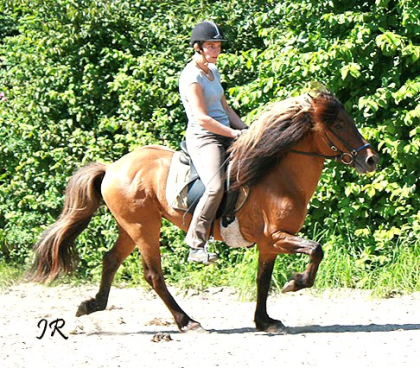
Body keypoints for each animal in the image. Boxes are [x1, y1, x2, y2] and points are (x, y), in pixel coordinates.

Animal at [29, 90, 378, 334]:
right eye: (339, 125)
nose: (371, 159)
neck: (278, 177)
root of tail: (113, 167)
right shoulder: (278, 236)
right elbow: (316, 250)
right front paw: (295, 283)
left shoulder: (269, 243)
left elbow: (262, 280)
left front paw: (264, 321)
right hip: (144, 227)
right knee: (153, 275)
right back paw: (186, 321)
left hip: (131, 227)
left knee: (111, 260)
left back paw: (92, 305)